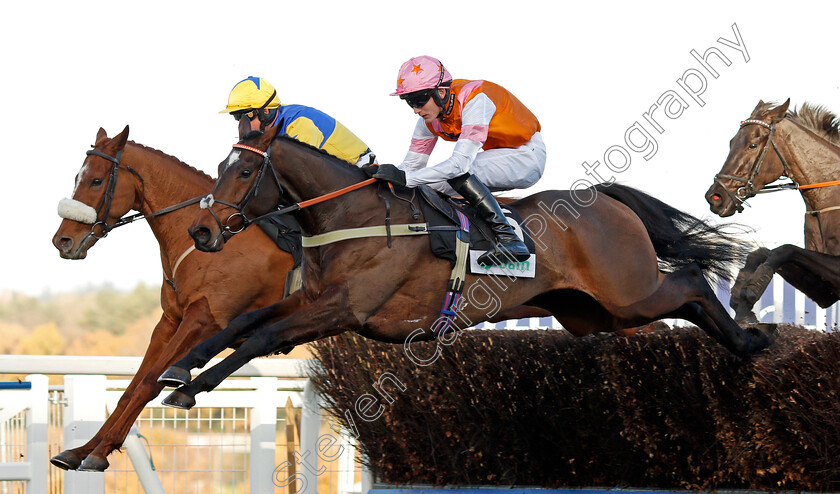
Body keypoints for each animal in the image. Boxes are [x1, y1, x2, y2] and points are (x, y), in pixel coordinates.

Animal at [50, 126, 296, 470]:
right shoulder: (170, 321)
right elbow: (133, 386)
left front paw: (100, 451)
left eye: (96, 180)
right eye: (77, 177)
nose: (62, 240)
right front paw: (82, 449)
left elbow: (150, 382)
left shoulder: (203, 320)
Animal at [156, 119, 776, 410]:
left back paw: (752, 338)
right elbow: (244, 323)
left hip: (628, 292)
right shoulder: (312, 298)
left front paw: (190, 386)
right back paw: (746, 340)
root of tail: (604, 199)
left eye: (242, 171)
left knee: (691, 280)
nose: (202, 231)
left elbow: (263, 337)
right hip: (592, 313)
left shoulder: (344, 309)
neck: (353, 214)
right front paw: (179, 370)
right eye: (220, 166)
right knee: (686, 297)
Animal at [704, 100, 836, 324]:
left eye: (753, 145)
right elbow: (764, 252)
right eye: (732, 142)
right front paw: (740, 299)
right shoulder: (824, 289)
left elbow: (784, 249)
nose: (715, 197)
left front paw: (752, 289)